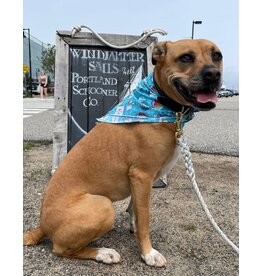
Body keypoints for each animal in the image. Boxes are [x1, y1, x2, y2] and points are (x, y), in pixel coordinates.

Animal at [23, 39, 222, 268]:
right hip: (102, 206)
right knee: (61, 249)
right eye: (186, 57)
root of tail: (41, 226)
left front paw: (134, 231)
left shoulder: (139, 181)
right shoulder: (142, 176)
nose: (213, 74)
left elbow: (135, 210)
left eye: (217, 55)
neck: (161, 104)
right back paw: (104, 253)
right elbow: (145, 219)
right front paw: (148, 253)